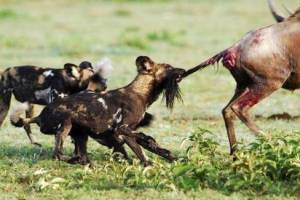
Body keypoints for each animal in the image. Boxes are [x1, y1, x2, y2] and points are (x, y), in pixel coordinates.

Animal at [11, 55, 185, 166]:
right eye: (169, 67)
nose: (183, 70)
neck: (140, 93)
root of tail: (40, 115)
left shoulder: (127, 134)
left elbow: (146, 148)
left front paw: (169, 158)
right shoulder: (122, 129)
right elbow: (143, 144)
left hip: (80, 134)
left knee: (80, 155)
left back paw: (85, 163)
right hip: (65, 123)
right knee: (57, 153)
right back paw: (74, 161)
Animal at [182, 5, 300, 155]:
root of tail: (235, 47)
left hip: (243, 86)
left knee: (227, 111)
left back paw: (236, 154)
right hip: (267, 85)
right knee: (238, 108)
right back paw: (273, 145)